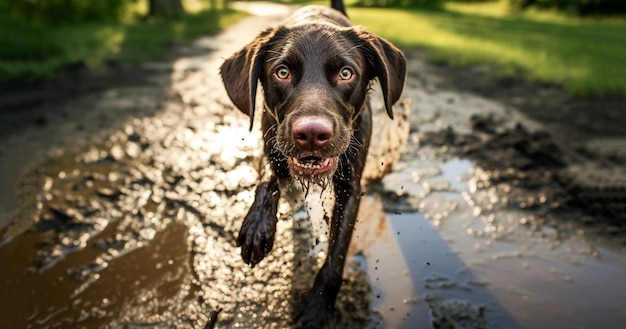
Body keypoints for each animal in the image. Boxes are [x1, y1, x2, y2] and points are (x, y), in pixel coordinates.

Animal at [218, 0, 404, 322]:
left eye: (346, 73)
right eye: (282, 72)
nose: (312, 134)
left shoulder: (350, 187)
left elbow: (337, 253)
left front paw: (318, 306)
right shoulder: (271, 137)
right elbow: (266, 179)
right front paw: (257, 226)